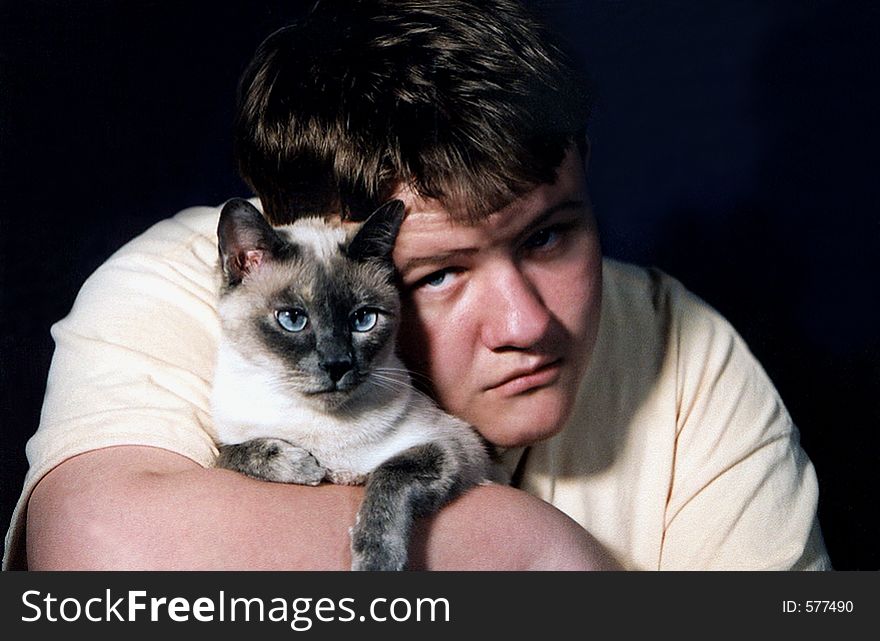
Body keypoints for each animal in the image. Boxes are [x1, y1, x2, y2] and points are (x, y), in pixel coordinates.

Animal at [211, 198, 492, 568]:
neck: (322, 430)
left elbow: (388, 477)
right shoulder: (221, 446)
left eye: (363, 320)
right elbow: (238, 453)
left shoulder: (454, 447)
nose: (337, 365)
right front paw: (305, 468)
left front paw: (377, 560)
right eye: (292, 319)